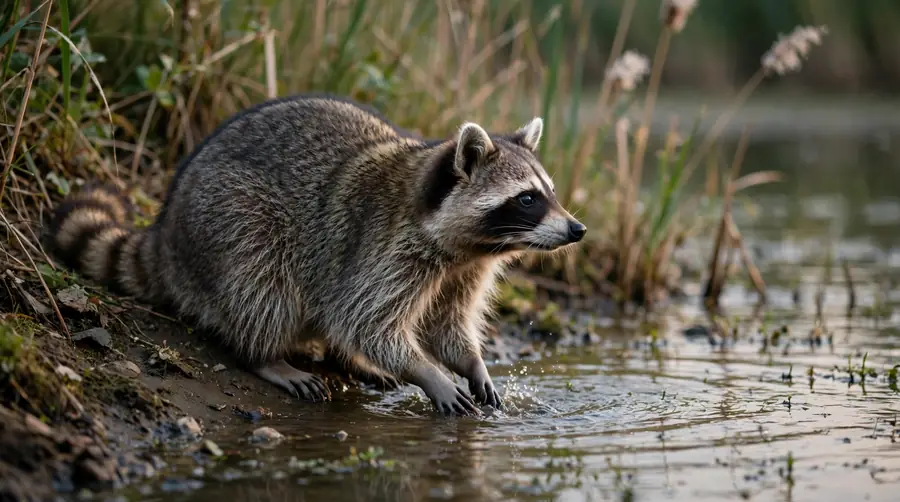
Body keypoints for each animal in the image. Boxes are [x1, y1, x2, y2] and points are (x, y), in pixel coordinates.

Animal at [47, 94, 587, 415]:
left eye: (550, 193)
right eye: (527, 199)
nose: (578, 229)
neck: (468, 247)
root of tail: (166, 229)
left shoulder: (464, 269)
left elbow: (444, 323)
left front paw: (471, 362)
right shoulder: (384, 249)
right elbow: (366, 320)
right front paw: (427, 372)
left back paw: (345, 361)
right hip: (226, 217)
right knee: (260, 274)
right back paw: (263, 354)